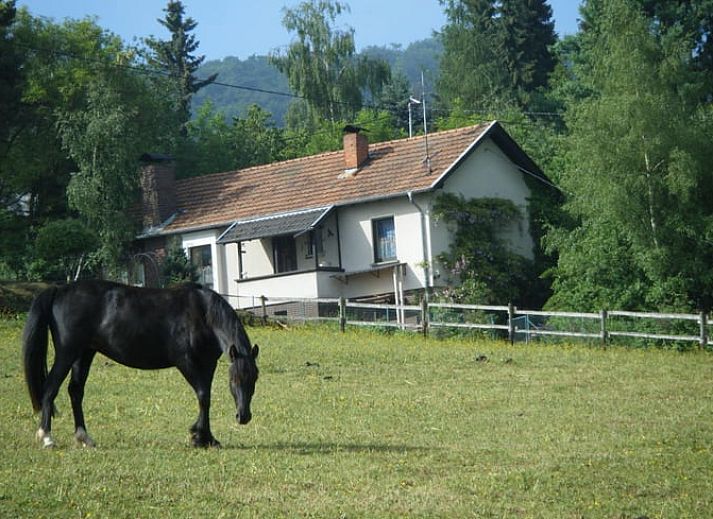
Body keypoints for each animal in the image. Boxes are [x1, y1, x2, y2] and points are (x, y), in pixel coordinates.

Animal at [23, 280, 260, 446]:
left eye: (255, 378)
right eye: (234, 380)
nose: (244, 416)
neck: (202, 313)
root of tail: (59, 290)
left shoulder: (207, 364)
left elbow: (206, 399)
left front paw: (206, 438)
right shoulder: (186, 362)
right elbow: (203, 395)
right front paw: (198, 436)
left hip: (84, 354)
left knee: (75, 391)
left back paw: (84, 437)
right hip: (67, 353)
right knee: (50, 388)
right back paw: (46, 437)